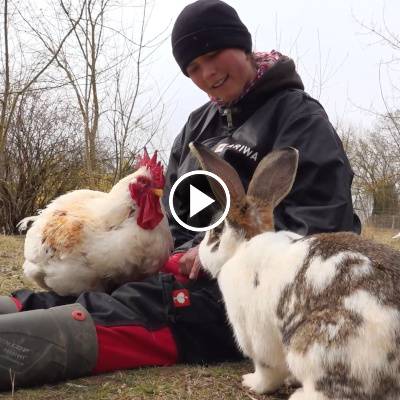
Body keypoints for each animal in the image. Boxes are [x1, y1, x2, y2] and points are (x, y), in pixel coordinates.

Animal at [189, 142, 400, 398]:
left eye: (216, 231)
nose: (199, 252)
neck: (242, 247)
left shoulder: (258, 339)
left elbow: (267, 371)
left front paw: (251, 383)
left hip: (318, 348)